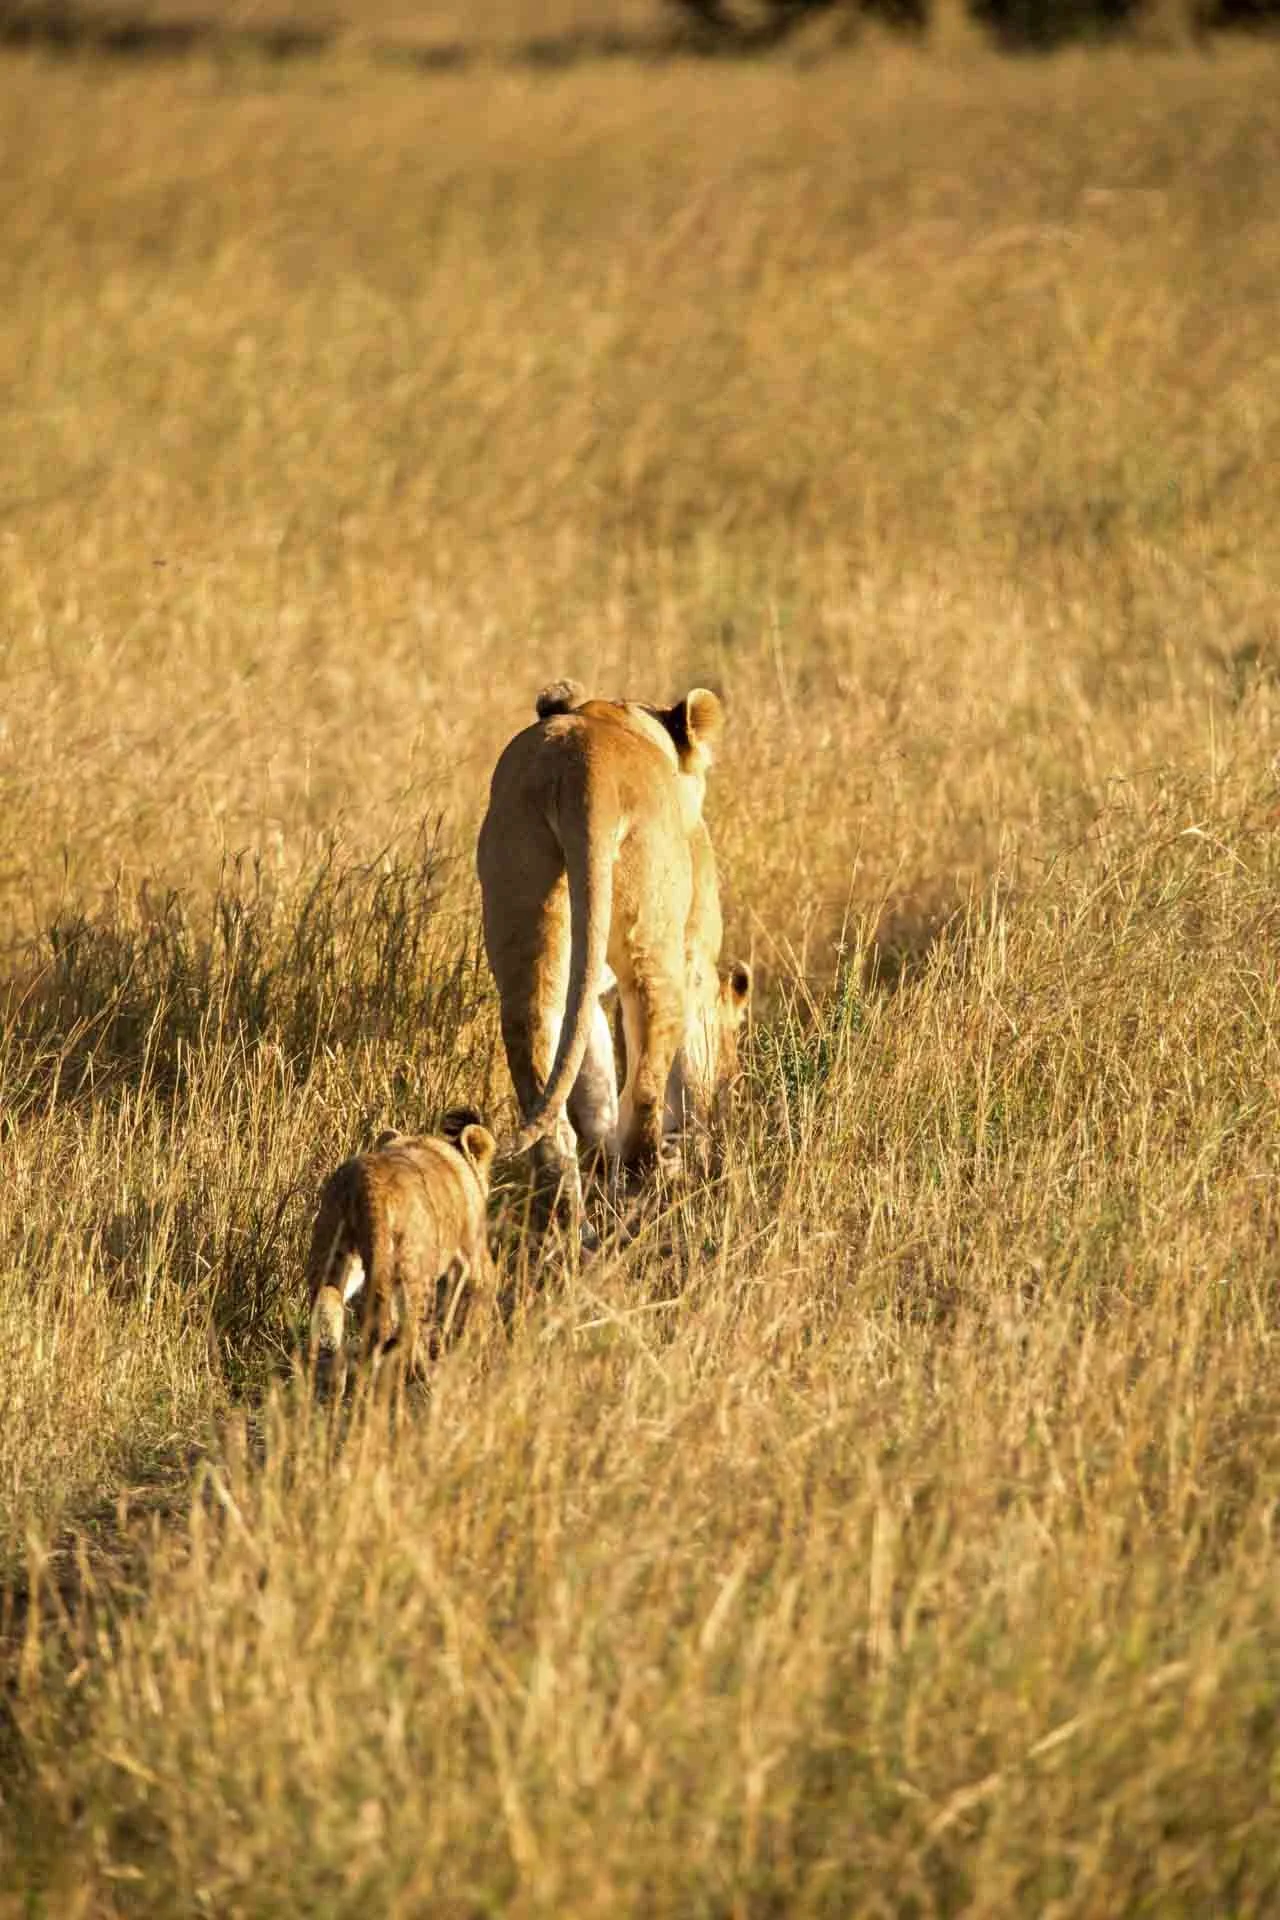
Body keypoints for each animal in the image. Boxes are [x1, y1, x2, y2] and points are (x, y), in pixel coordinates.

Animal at [305, 1107, 496, 1397]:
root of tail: (367, 1181)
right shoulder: (470, 1261)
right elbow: (461, 1312)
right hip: (417, 1272)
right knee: (402, 1330)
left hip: (335, 1256)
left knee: (329, 1313)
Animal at [477, 679, 745, 1224]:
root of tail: (582, 770)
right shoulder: (697, 957)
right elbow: (693, 1063)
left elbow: (592, 1074)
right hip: (654, 944)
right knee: (646, 1083)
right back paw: (649, 1188)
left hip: (527, 916)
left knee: (553, 1098)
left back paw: (574, 1221)